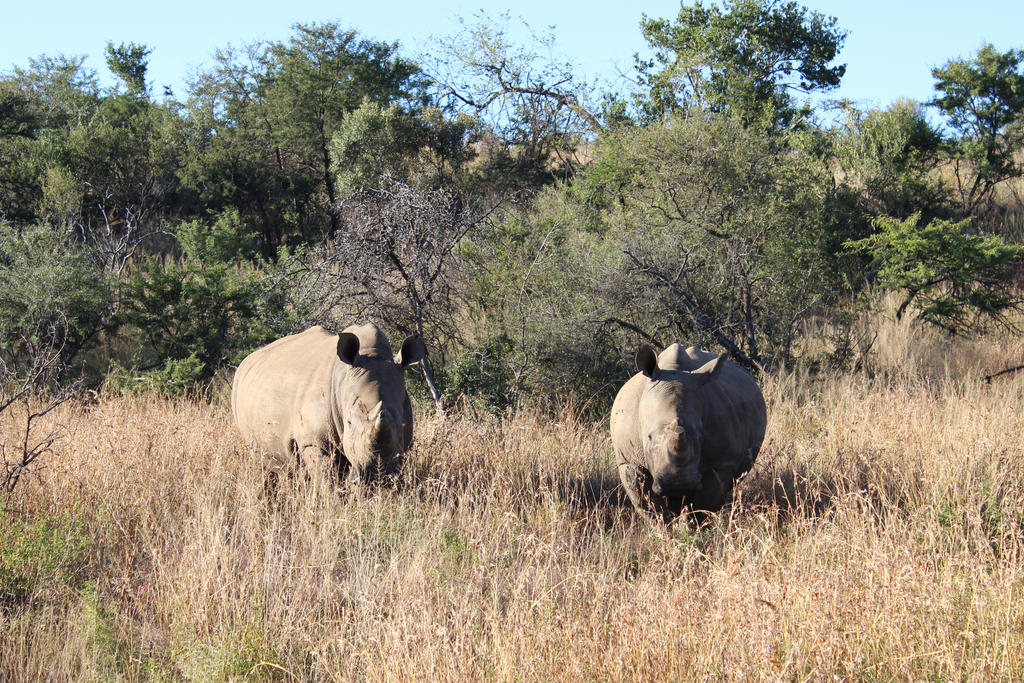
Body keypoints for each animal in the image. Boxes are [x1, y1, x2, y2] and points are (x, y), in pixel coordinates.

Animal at [232, 323, 423, 483]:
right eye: (349, 422)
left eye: (403, 425)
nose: (377, 476)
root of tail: (245, 361)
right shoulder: (313, 441)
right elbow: (326, 481)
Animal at [606, 344, 770, 520]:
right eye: (648, 437)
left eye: (700, 437)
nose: (678, 484)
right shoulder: (630, 461)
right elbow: (648, 504)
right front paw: (664, 525)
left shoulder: (721, 464)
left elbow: (703, 506)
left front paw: (692, 524)